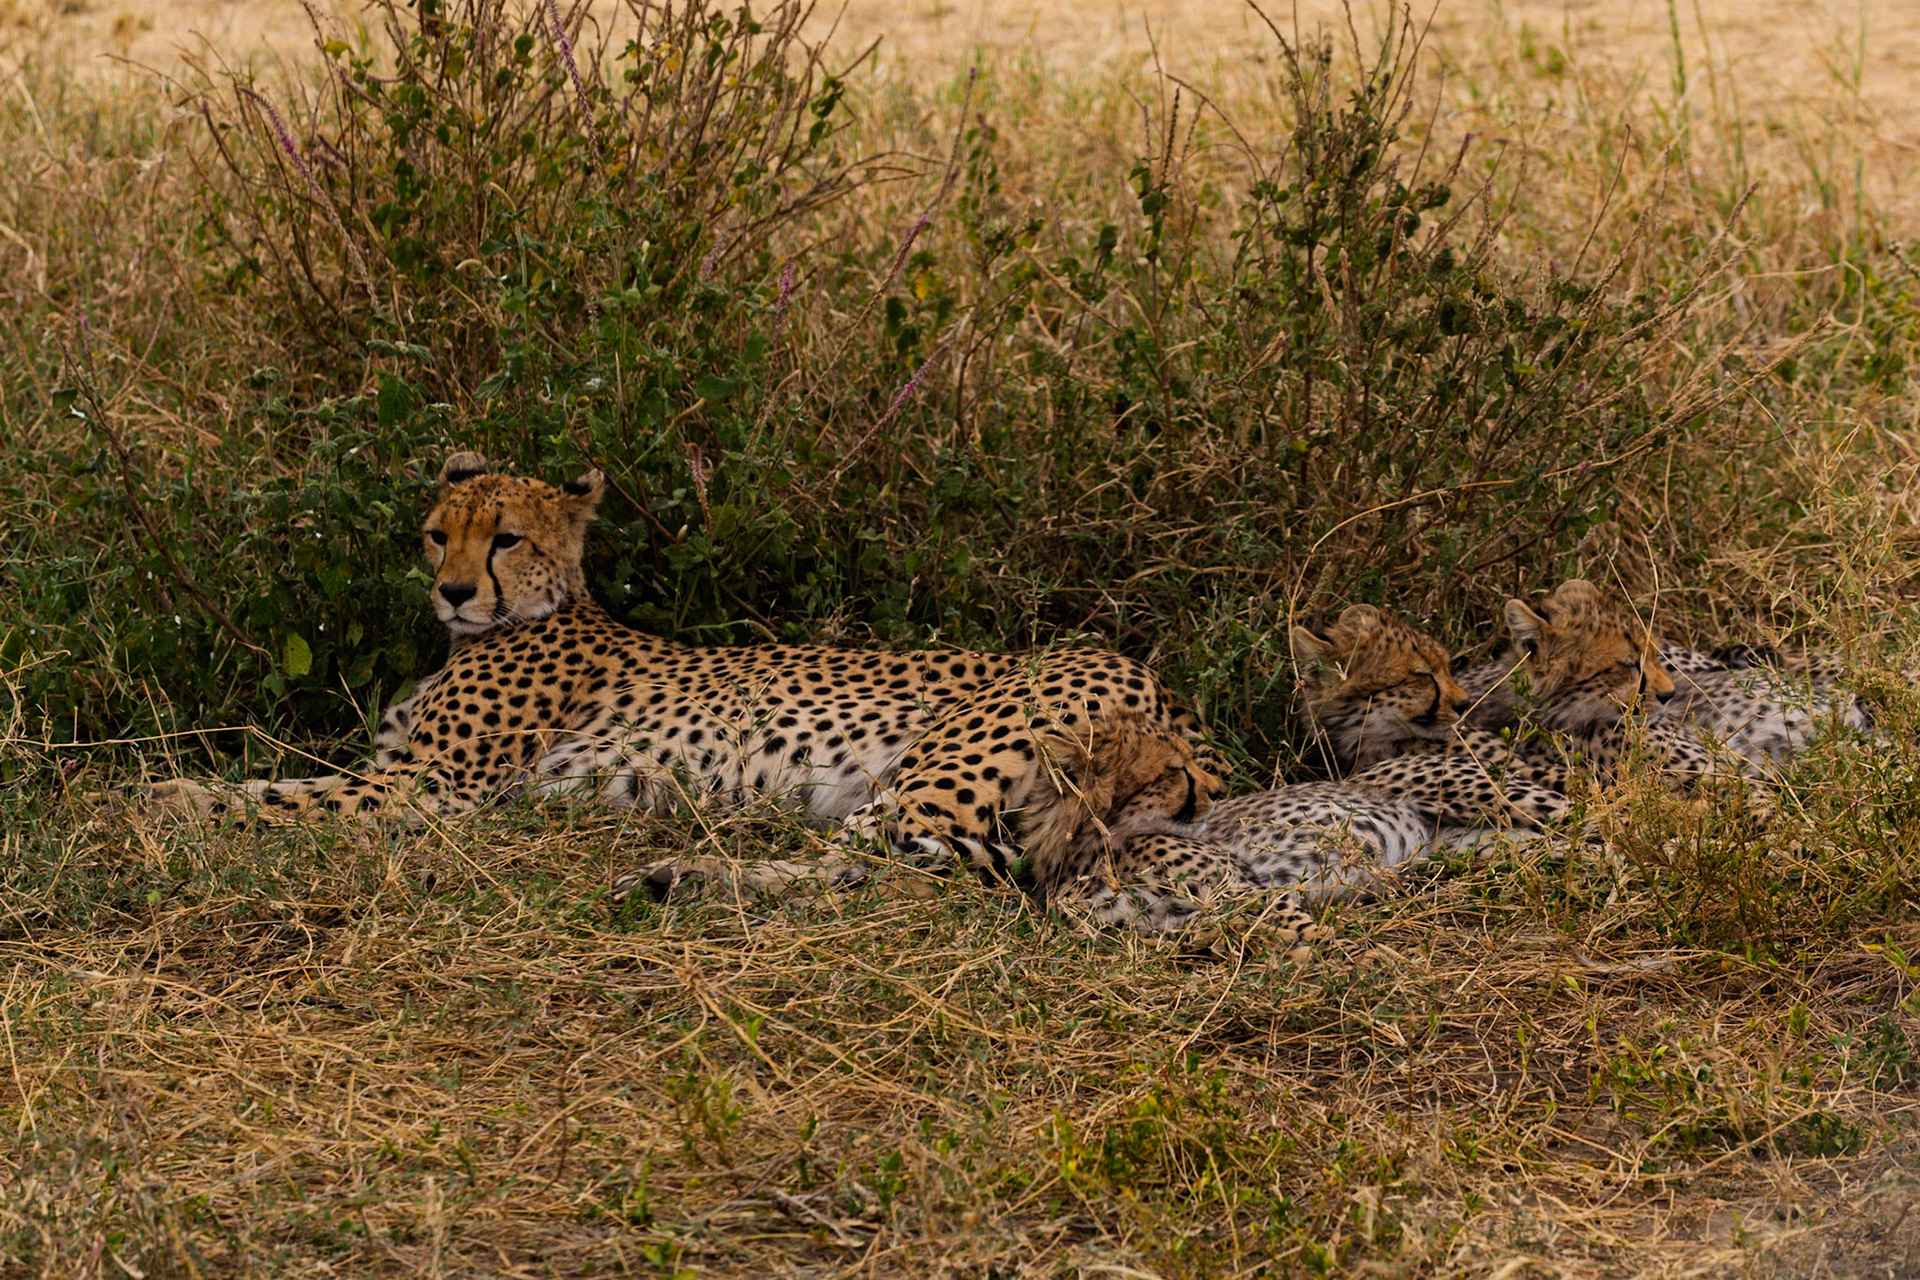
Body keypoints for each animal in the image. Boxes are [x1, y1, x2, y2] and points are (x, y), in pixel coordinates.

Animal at [144, 454, 1203, 883]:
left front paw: (156, 801)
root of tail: (1165, 693)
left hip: (937, 769)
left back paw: (680, 877)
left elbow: (285, 798)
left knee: (901, 869)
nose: (450, 591)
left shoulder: (431, 787)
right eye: (440, 534)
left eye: (506, 538)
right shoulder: (403, 770)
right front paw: (168, 792)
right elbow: (287, 782)